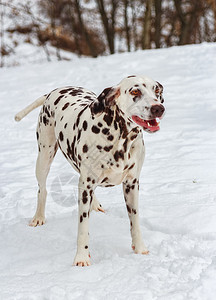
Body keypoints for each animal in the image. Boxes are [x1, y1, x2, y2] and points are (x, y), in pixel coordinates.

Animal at [14, 75, 165, 268]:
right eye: (135, 91)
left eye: (156, 90)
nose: (158, 108)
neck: (120, 139)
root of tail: (54, 91)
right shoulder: (85, 186)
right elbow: (83, 228)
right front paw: (81, 257)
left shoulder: (131, 184)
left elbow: (135, 221)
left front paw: (140, 248)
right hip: (44, 158)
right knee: (42, 189)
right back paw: (39, 217)